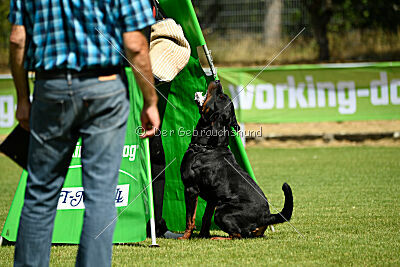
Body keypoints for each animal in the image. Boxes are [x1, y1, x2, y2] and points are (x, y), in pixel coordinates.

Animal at [180, 81, 292, 241]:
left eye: (221, 96)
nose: (218, 82)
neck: (208, 146)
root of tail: (266, 216)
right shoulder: (212, 199)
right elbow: (205, 219)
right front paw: (203, 236)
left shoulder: (191, 188)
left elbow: (190, 218)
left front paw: (185, 237)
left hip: (222, 212)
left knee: (238, 235)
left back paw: (219, 238)